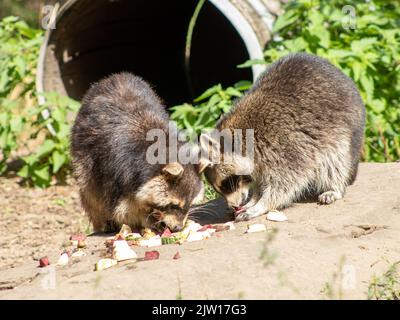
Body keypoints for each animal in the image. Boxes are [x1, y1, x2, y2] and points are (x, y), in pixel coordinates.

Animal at [69, 73, 205, 232]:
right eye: (173, 205)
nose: (178, 228)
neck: (166, 147)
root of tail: (115, 77)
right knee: (90, 189)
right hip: (83, 150)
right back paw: (101, 221)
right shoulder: (116, 170)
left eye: (190, 204)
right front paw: (147, 219)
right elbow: (123, 208)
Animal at [200, 53, 366, 222]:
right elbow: (260, 179)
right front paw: (254, 198)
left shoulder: (284, 144)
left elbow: (285, 181)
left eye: (226, 184)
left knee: (335, 160)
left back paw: (335, 187)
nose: (233, 206)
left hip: (342, 129)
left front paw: (262, 204)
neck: (243, 139)